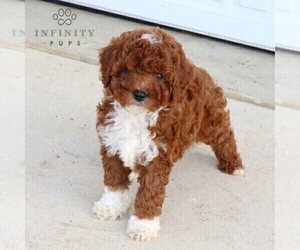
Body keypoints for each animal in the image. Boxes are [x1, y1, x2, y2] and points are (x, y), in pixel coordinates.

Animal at [93, 28, 244, 241]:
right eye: (127, 70)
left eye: (159, 75)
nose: (139, 94)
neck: (137, 115)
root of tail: (201, 72)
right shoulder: (112, 144)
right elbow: (114, 183)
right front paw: (109, 207)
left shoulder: (158, 156)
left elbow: (150, 192)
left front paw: (143, 225)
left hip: (211, 124)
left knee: (225, 137)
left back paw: (234, 165)